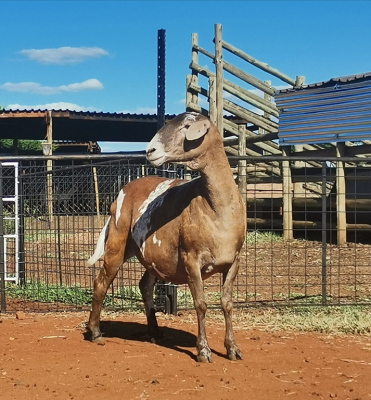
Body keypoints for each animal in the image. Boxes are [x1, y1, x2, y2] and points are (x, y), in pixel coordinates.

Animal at [87, 112, 247, 362]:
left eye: (187, 126)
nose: (150, 151)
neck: (217, 208)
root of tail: (120, 195)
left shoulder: (234, 260)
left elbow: (227, 303)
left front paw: (232, 348)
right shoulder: (191, 258)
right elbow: (201, 304)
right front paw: (203, 351)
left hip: (151, 256)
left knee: (144, 285)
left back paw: (154, 331)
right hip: (117, 241)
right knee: (101, 282)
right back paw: (95, 332)